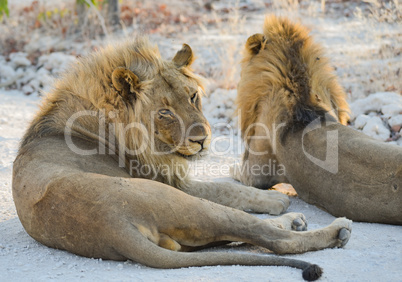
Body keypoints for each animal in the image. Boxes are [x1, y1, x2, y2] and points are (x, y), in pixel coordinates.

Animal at [12, 36, 352, 280]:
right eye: (164, 112)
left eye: (192, 96)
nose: (202, 139)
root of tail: (112, 226)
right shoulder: (168, 178)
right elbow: (225, 188)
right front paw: (275, 199)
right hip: (177, 200)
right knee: (270, 238)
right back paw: (330, 228)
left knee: (237, 237)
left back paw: (293, 221)